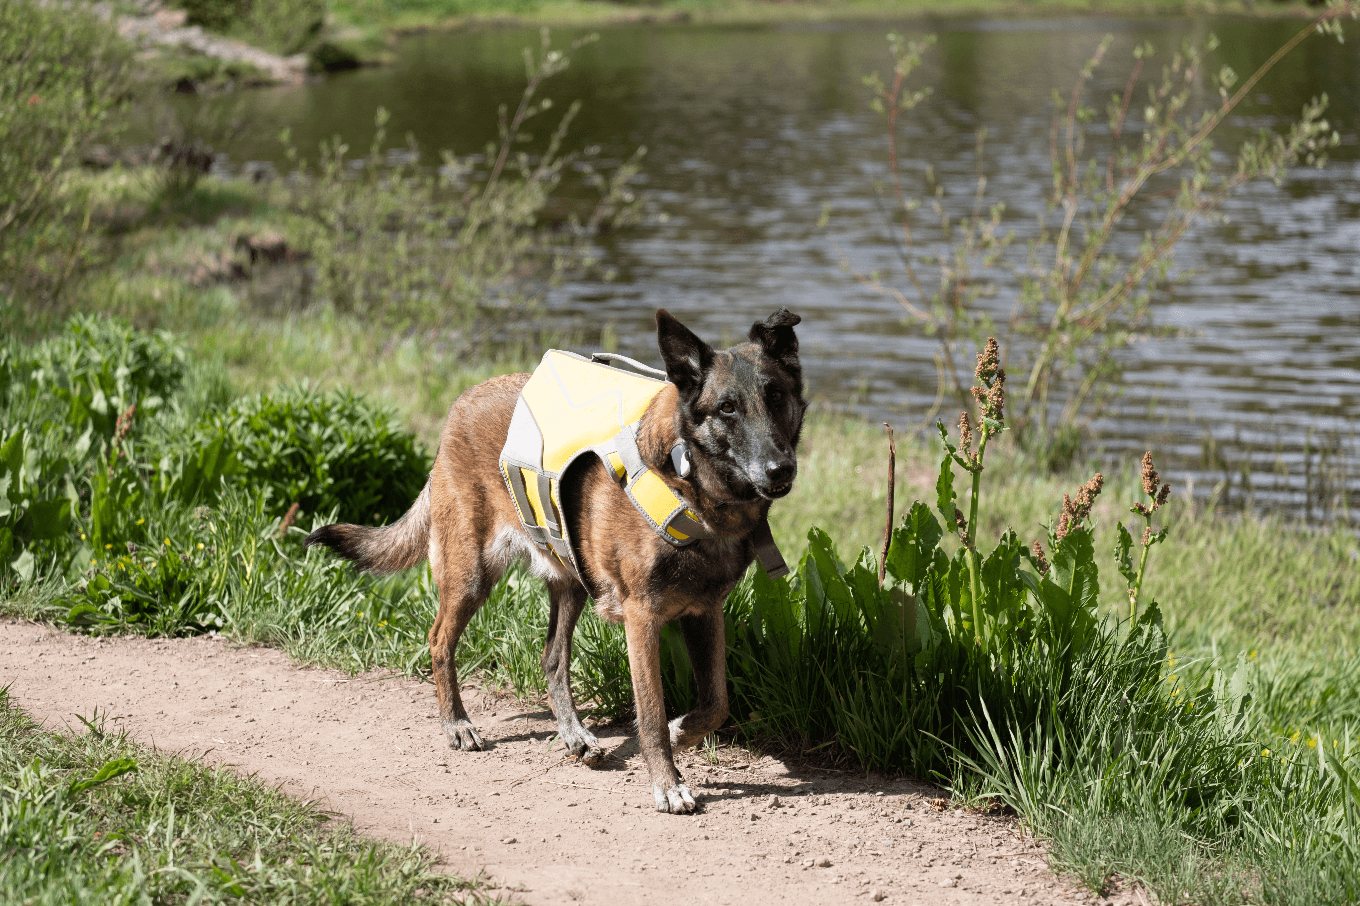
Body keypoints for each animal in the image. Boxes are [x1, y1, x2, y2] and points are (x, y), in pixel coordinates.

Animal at [303, 308, 799, 810]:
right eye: (727, 408)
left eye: (776, 396)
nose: (781, 469)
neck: (691, 483)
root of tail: (461, 402)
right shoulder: (642, 618)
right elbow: (652, 713)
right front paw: (667, 781)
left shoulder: (705, 612)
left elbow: (716, 703)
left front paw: (681, 734)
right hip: (471, 574)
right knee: (439, 640)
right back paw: (457, 724)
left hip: (572, 582)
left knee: (552, 659)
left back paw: (575, 735)